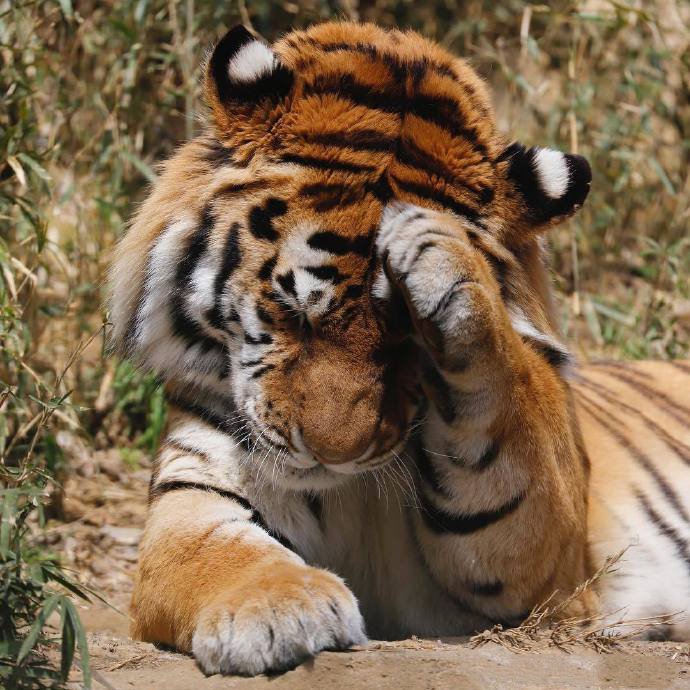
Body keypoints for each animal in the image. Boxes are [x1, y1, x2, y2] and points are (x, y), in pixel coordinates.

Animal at [109, 22, 688, 676]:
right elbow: (214, 552)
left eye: (411, 343)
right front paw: (280, 611)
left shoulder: (555, 572)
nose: (332, 455)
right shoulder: (196, 492)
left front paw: (439, 249)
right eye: (293, 311)